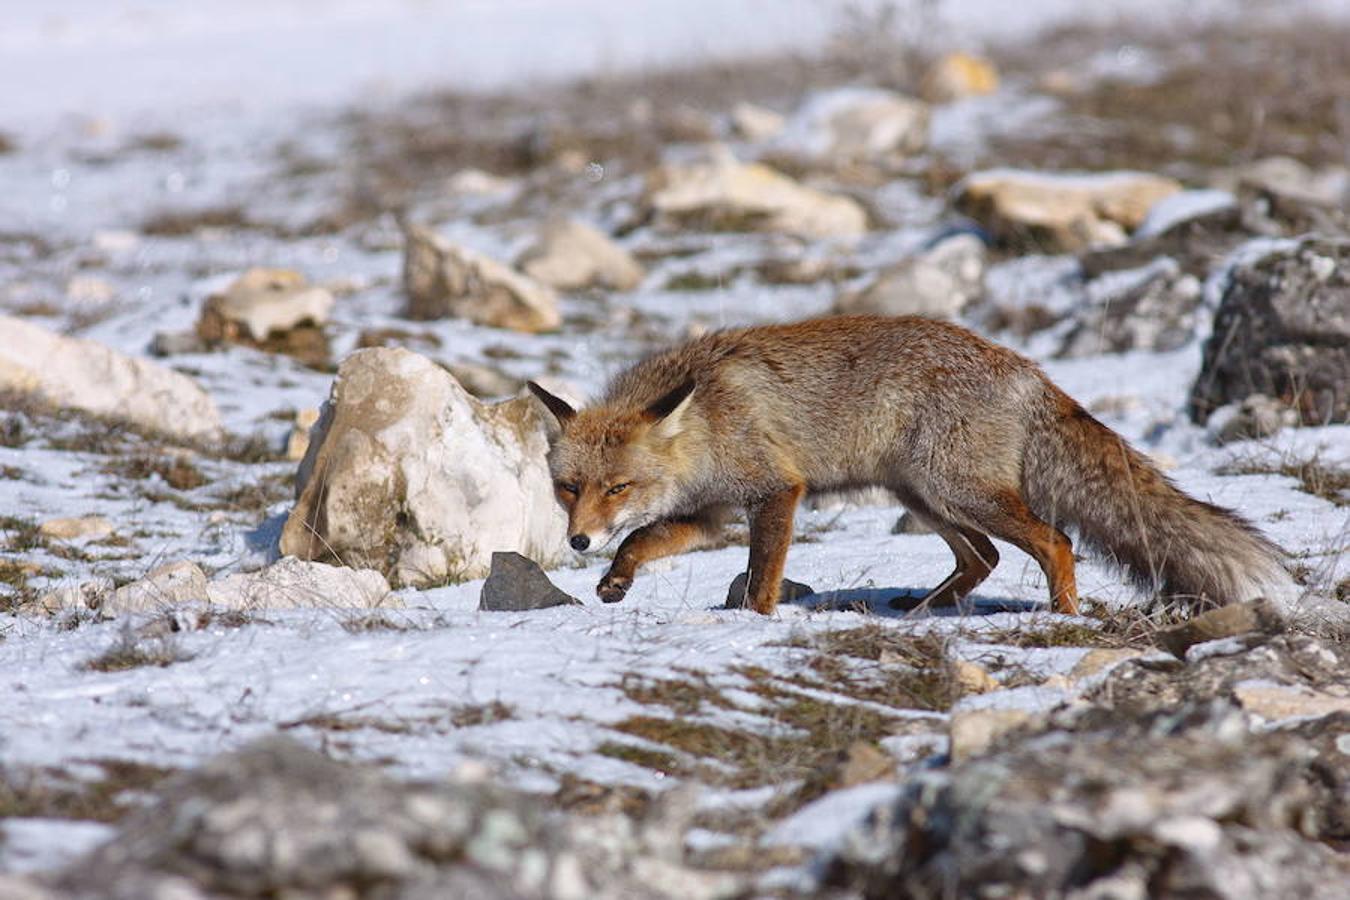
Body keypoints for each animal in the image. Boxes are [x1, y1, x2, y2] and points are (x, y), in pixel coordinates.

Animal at [526, 313, 1285, 615]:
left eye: (619, 486)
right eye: (568, 488)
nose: (579, 541)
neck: (707, 422)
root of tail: (1025, 368)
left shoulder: (776, 489)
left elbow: (764, 571)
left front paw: (756, 620)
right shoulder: (710, 513)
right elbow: (645, 540)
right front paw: (615, 580)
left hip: (956, 490)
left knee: (1056, 541)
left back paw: (1062, 614)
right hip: (923, 497)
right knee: (983, 558)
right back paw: (924, 611)